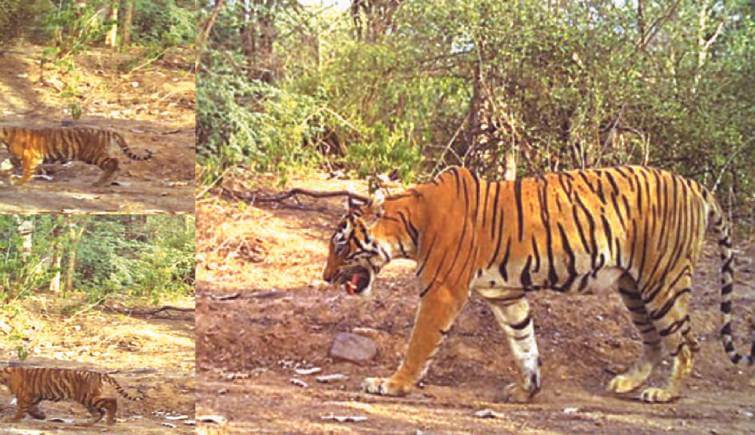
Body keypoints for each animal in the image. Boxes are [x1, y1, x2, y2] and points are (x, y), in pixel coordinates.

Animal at [0, 126, 154, 187]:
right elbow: (6, 163)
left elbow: (26, 171)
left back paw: (100, 182)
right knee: (116, 164)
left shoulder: (32, 157)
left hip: (93, 155)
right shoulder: (16, 157)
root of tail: (107, 131)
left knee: (114, 162)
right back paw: (109, 181)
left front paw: (18, 182)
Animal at [0, 368, 143, 426]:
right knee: (99, 412)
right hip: (88, 401)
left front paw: (12, 419)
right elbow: (32, 408)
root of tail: (98, 374)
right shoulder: (34, 397)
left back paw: (109, 421)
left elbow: (20, 409)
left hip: (88, 398)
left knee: (111, 401)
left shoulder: (24, 396)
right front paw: (41, 416)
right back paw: (84, 423)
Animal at [322, 165, 752, 404]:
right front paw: (526, 390)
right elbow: (524, 343)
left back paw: (665, 393)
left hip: (663, 280)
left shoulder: (441, 291)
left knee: (687, 342)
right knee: (655, 339)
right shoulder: (505, 294)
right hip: (633, 287)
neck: (411, 223)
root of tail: (695, 186)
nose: (326, 277)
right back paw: (627, 382)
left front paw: (391, 385)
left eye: (341, 245)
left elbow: (419, 345)